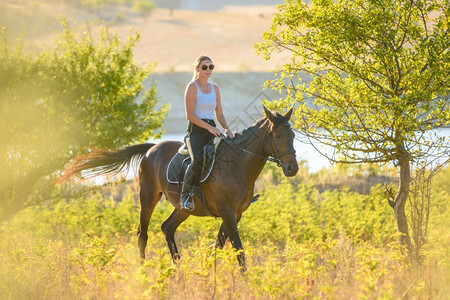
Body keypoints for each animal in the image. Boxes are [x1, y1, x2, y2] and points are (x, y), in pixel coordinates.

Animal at [59, 107, 298, 270]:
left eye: (293, 135)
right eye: (277, 136)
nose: (292, 168)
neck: (238, 165)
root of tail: (153, 148)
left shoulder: (235, 214)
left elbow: (217, 246)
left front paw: (208, 273)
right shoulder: (228, 213)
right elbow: (238, 250)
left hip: (184, 208)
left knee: (167, 228)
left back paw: (177, 267)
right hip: (148, 197)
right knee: (142, 234)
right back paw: (144, 271)